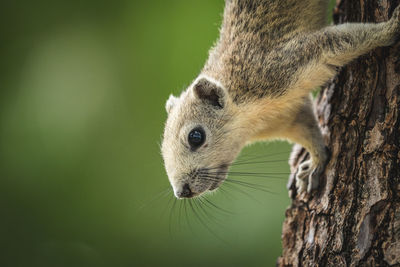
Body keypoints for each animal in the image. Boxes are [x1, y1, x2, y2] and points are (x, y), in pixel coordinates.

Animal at [161, 0, 398, 199]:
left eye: (196, 137)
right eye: (162, 149)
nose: (182, 192)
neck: (248, 115)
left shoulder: (275, 68)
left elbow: (337, 42)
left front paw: (391, 27)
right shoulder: (287, 118)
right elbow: (307, 130)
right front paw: (314, 163)